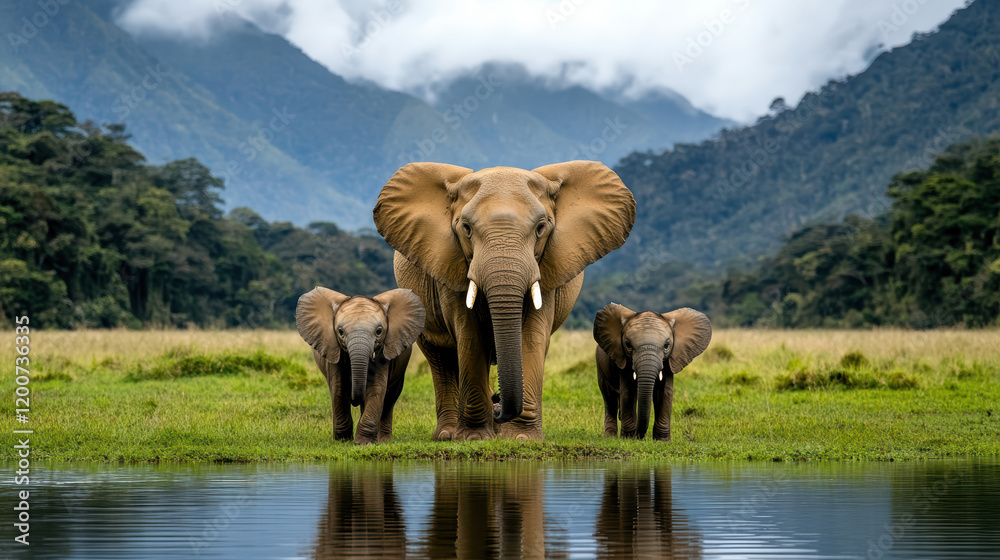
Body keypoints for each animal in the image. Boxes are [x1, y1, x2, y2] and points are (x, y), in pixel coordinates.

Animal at [296, 287, 425, 444]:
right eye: (340, 332)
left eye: (379, 331)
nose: (355, 400)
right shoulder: (332, 349)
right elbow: (338, 388)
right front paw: (343, 440)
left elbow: (376, 388)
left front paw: (364, 442)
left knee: (390, 399)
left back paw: (384, 440)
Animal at [374, 161, 635, 441]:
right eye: (466, 229)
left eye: (541, 228)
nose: (498, 406)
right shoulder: (450, 265)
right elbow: (469, 336)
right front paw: (475, 438)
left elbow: (531, 336)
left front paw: (521, 438)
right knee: (440, 358)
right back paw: (447, 435)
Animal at [594, 304, 712, 441]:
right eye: (628, 345)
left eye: (666, 346)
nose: (640, 436)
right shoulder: (622, 359)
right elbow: (628, 391)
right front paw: (628, 438)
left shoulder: (670, 360)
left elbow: (665, 392)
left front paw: (662, 441)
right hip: (600, 364)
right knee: (609, 398)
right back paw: (610, 437)